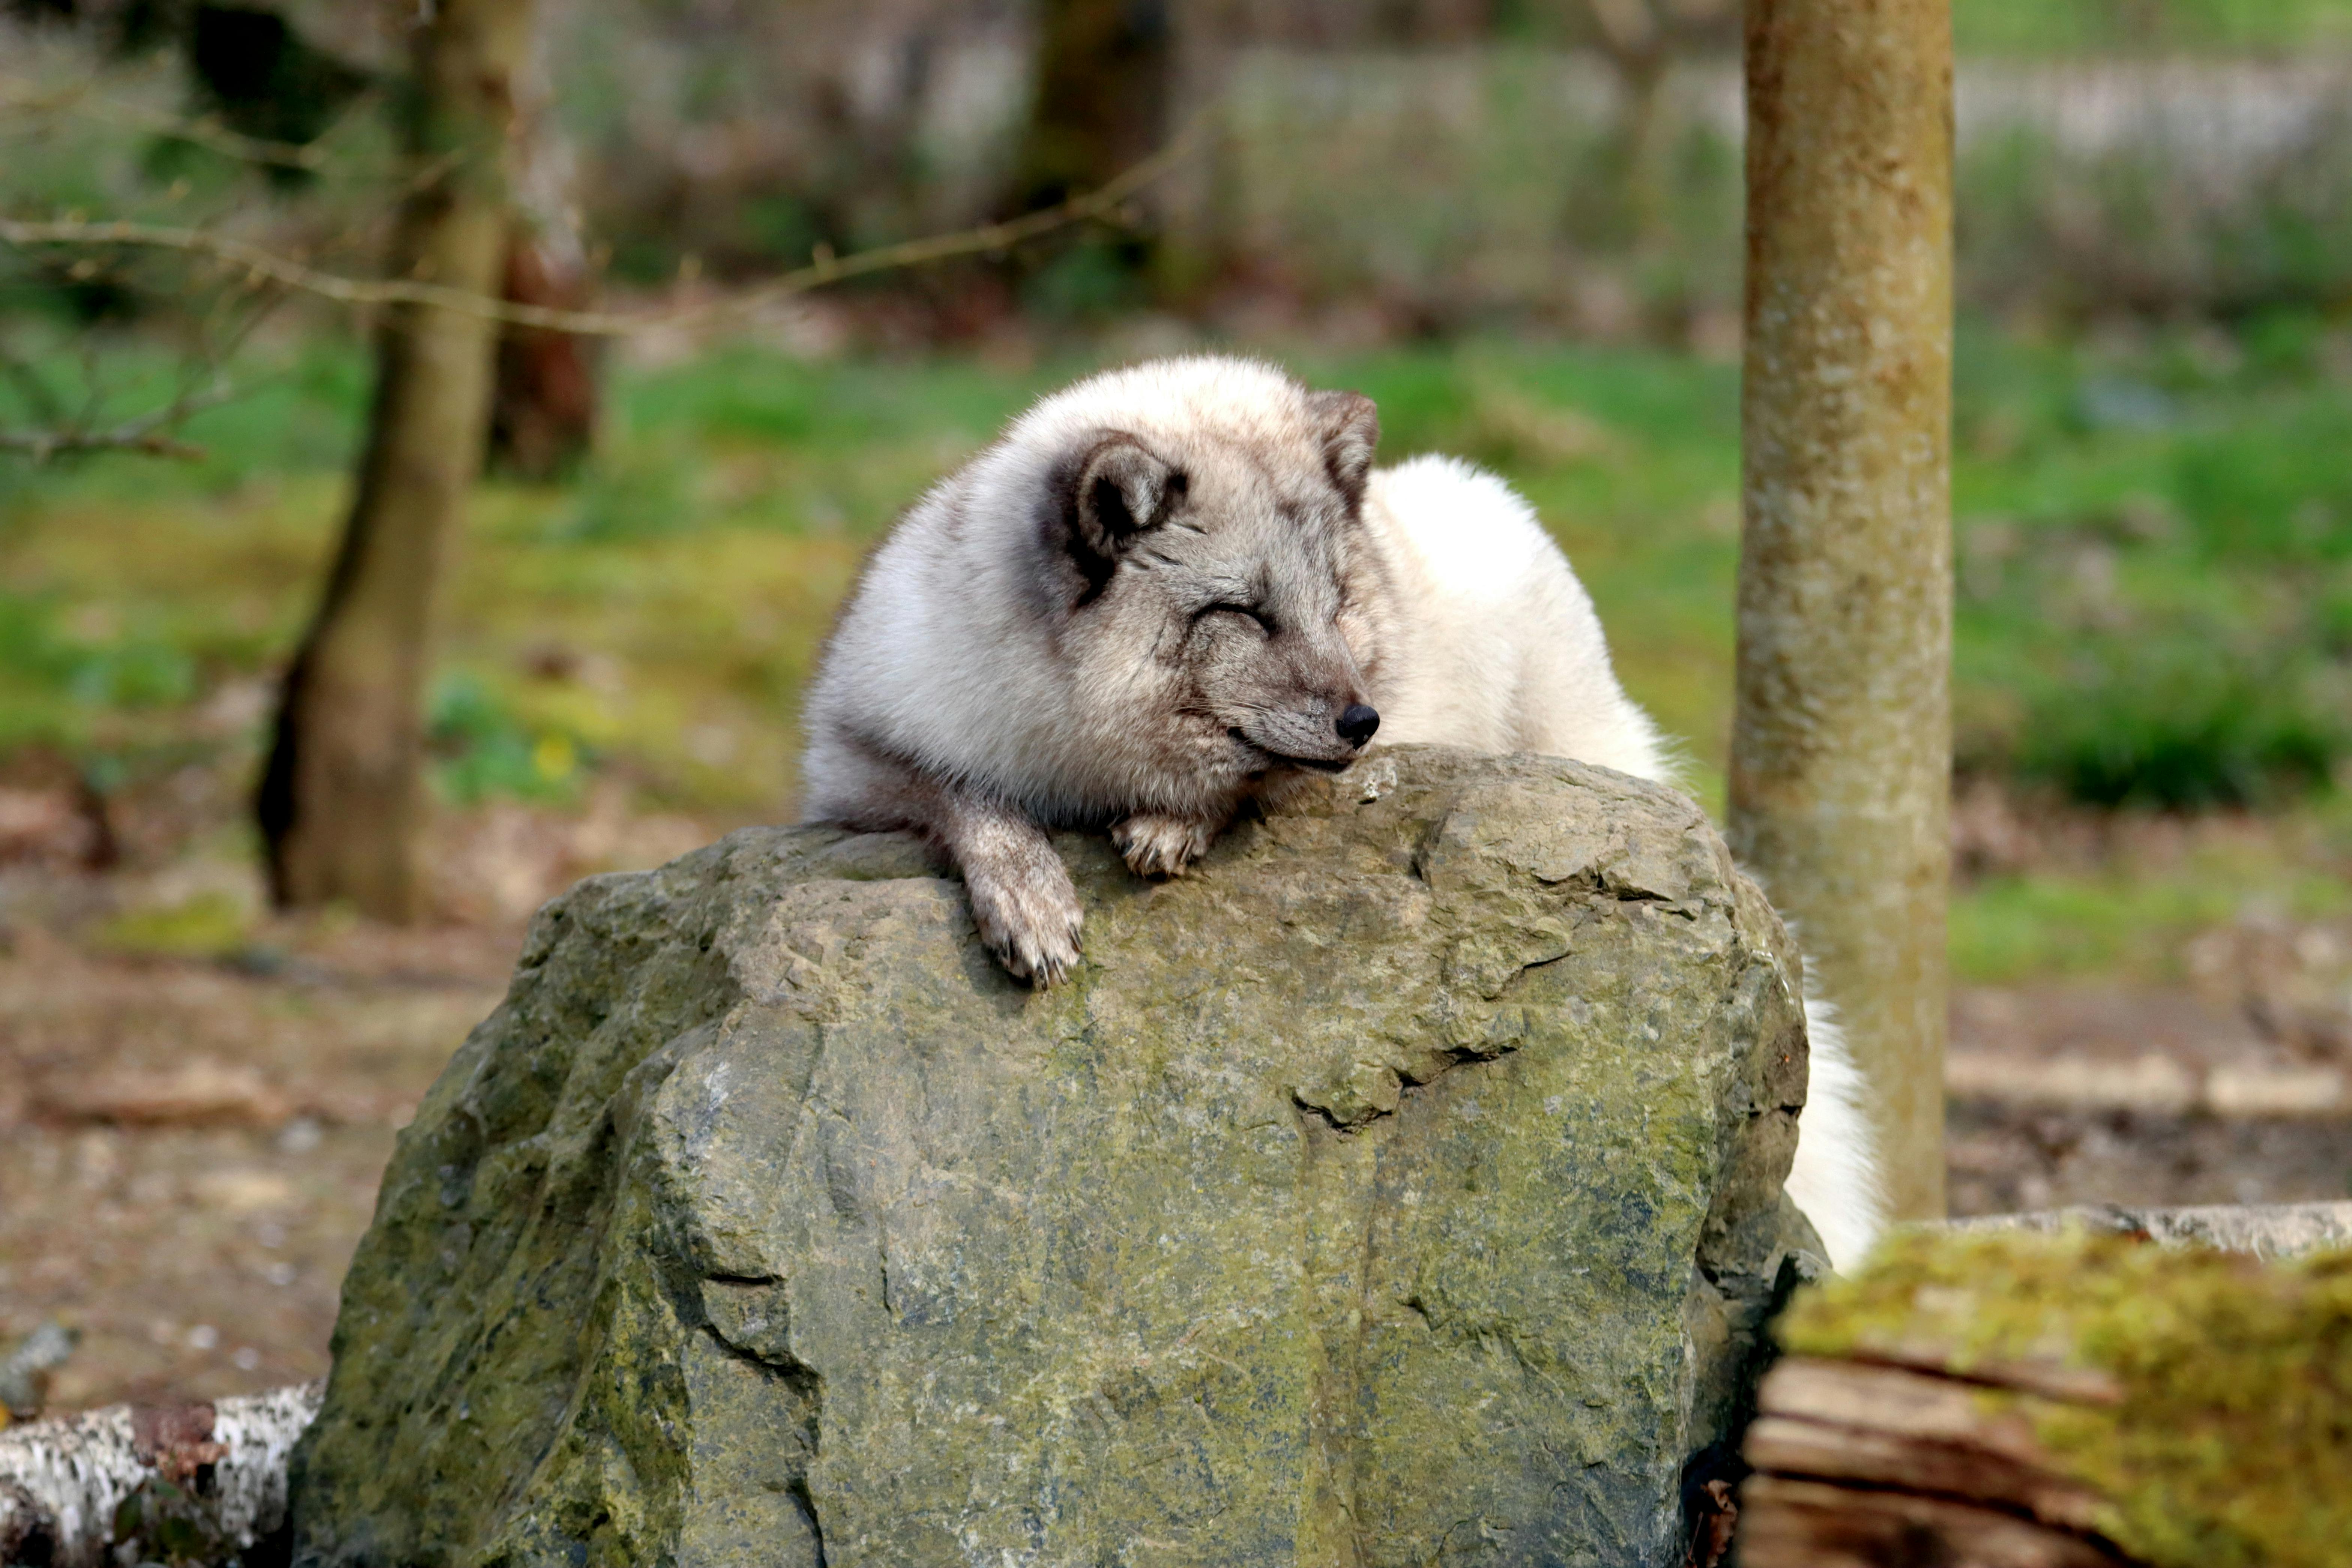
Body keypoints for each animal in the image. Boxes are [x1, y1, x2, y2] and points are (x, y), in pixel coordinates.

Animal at [801, 355, 1883, 1268]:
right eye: (1242, 611)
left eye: (1337, 601)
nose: (1360, 720)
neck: (1077, 749)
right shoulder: (848, 752)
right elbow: (960, 795)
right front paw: (1028, 897)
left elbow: (1247, 782)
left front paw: (1173, 825)